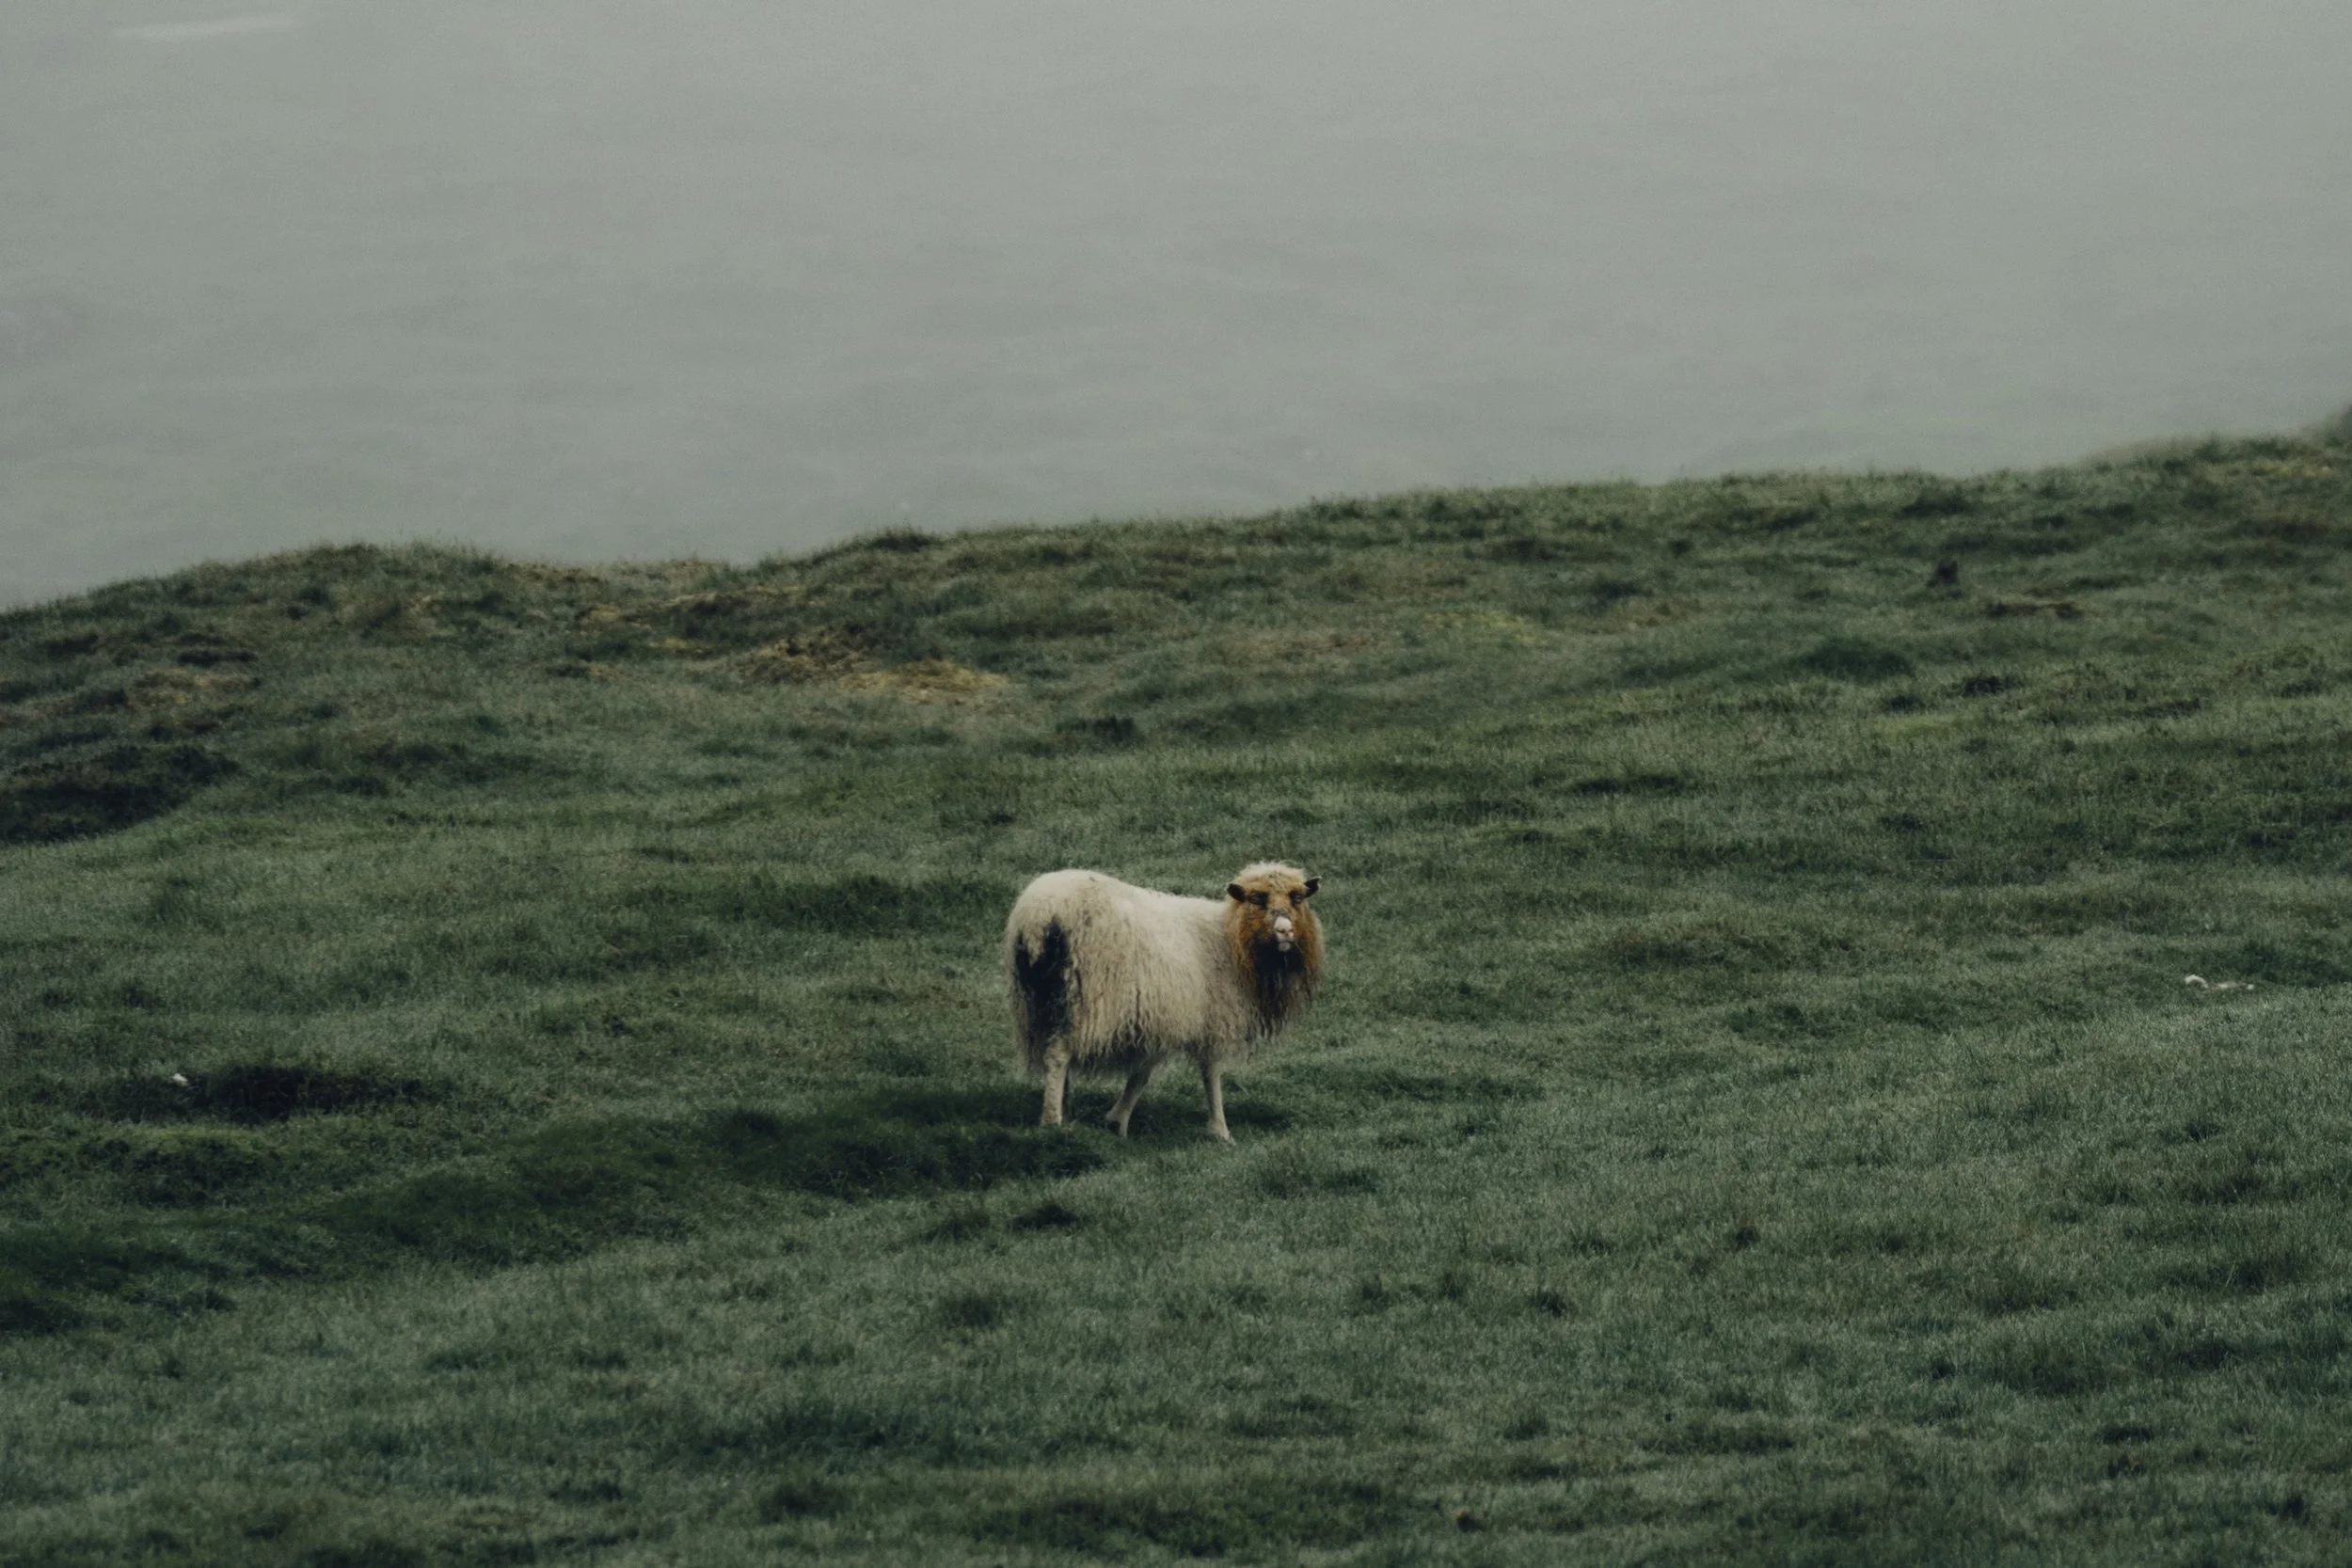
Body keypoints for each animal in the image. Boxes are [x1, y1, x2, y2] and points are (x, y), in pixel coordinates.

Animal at [1005, 862, 1323, 1141]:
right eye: (1257, 899)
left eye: (1297, 898)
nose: (1285, 931)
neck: (1231, 940)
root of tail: (1040, 915)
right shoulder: (1210, 1016)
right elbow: (1211, 1074)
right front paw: (1220, 1131)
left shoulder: (1158, 1017)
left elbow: (1141, 1075)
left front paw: (1117, 1122)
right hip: (1083, 1000)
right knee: (1058, 1056)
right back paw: (1052, 1120)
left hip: (1040, 1002)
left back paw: (1064, 1108)